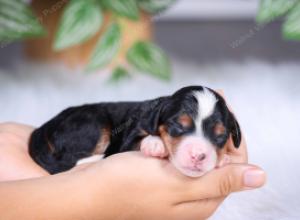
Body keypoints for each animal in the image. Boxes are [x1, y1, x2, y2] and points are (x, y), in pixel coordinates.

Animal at [29, 86, 241, 177]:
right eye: (178, 125)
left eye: (220, 136)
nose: (198, 155)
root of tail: (44, 128)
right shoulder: (127, 141)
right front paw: (155, 143)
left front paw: (222, 158)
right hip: (93, 125)